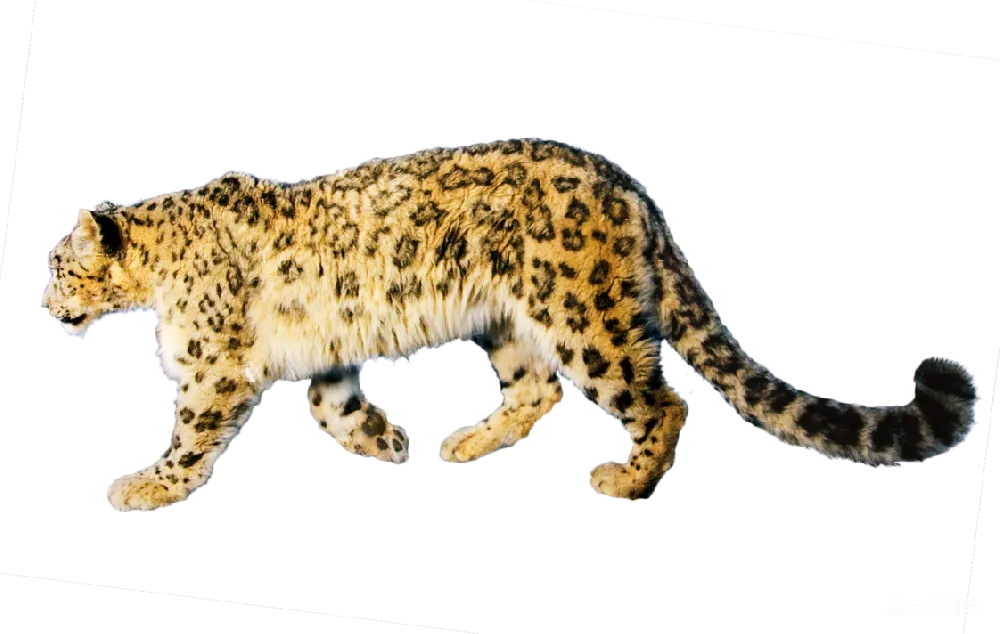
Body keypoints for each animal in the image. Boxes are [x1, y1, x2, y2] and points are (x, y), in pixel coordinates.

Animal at [39, 137, 983, 511]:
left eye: (57, 264)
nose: (43, 303)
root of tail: (627, 185)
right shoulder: (326, 352)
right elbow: (330, 404)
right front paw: (387, 443)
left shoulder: (214, 364)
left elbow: (192, 430)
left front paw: (144, 486)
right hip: (509, 319)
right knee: (539, 393)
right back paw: (463, 444)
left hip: (580, 310)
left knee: (659, 396)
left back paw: (625, 481)